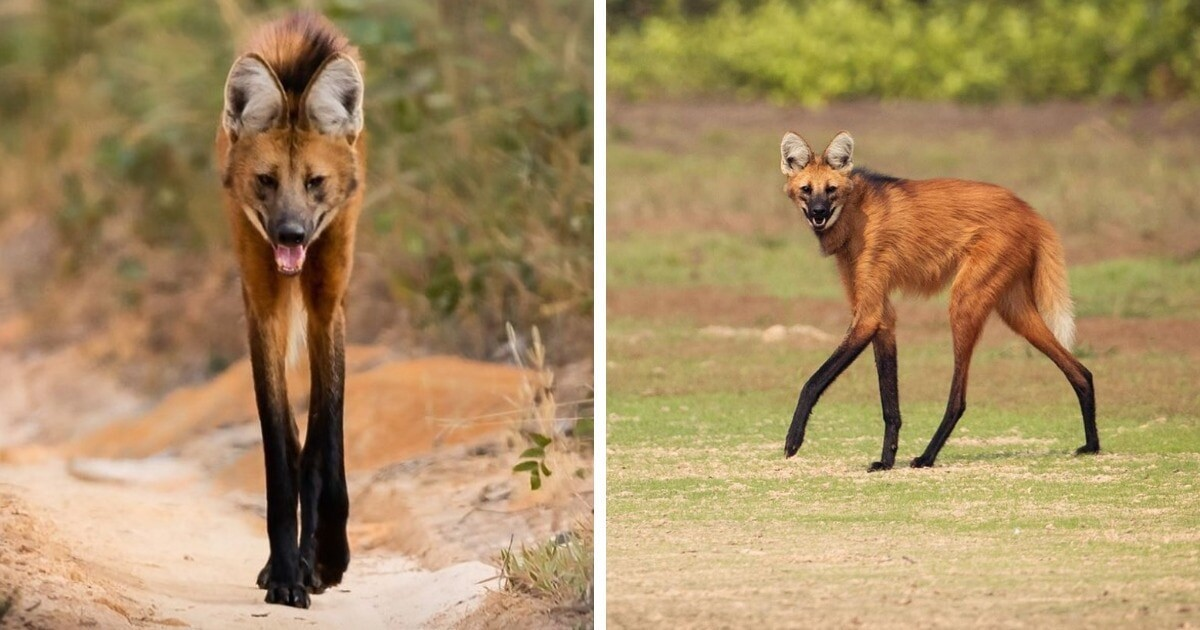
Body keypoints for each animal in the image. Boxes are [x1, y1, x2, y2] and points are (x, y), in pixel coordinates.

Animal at [777, 130, 1099, 468]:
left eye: (831, 190)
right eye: (806, 190)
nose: (818, 213)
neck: (854, 214)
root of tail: (1031, 211)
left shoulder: (868, 315)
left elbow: (812, 382)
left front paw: (793, 440)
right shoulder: (881, 317)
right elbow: (889, 403)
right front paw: (886, 460)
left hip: (964, 302)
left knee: (959, 399)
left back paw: (927, 456)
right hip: (1014, 309)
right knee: (1080, 371)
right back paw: (1092, 444)